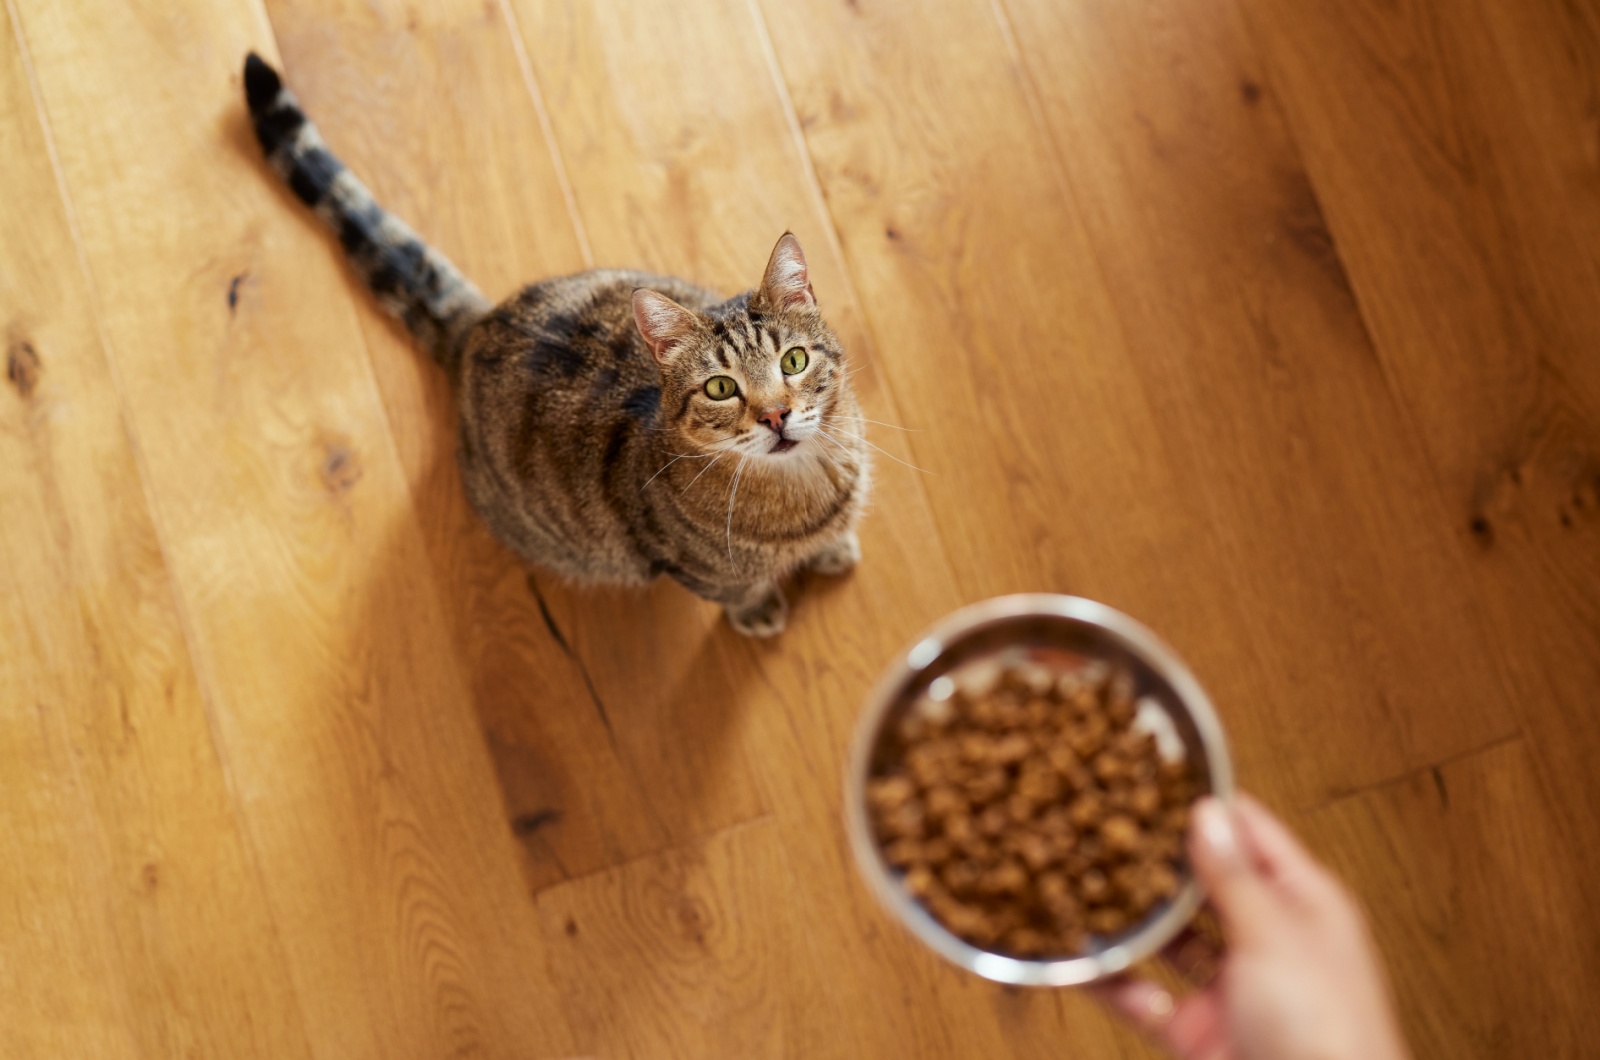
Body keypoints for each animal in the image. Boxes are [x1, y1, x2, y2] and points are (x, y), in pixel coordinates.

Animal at [244, 54, 876, 634]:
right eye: (721, 388)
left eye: (794, 360)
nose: (775, 415)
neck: (806, 489)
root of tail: (478, 324)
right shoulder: (688, 564)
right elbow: (736, 589)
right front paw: (760, 610)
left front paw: (832, 549)